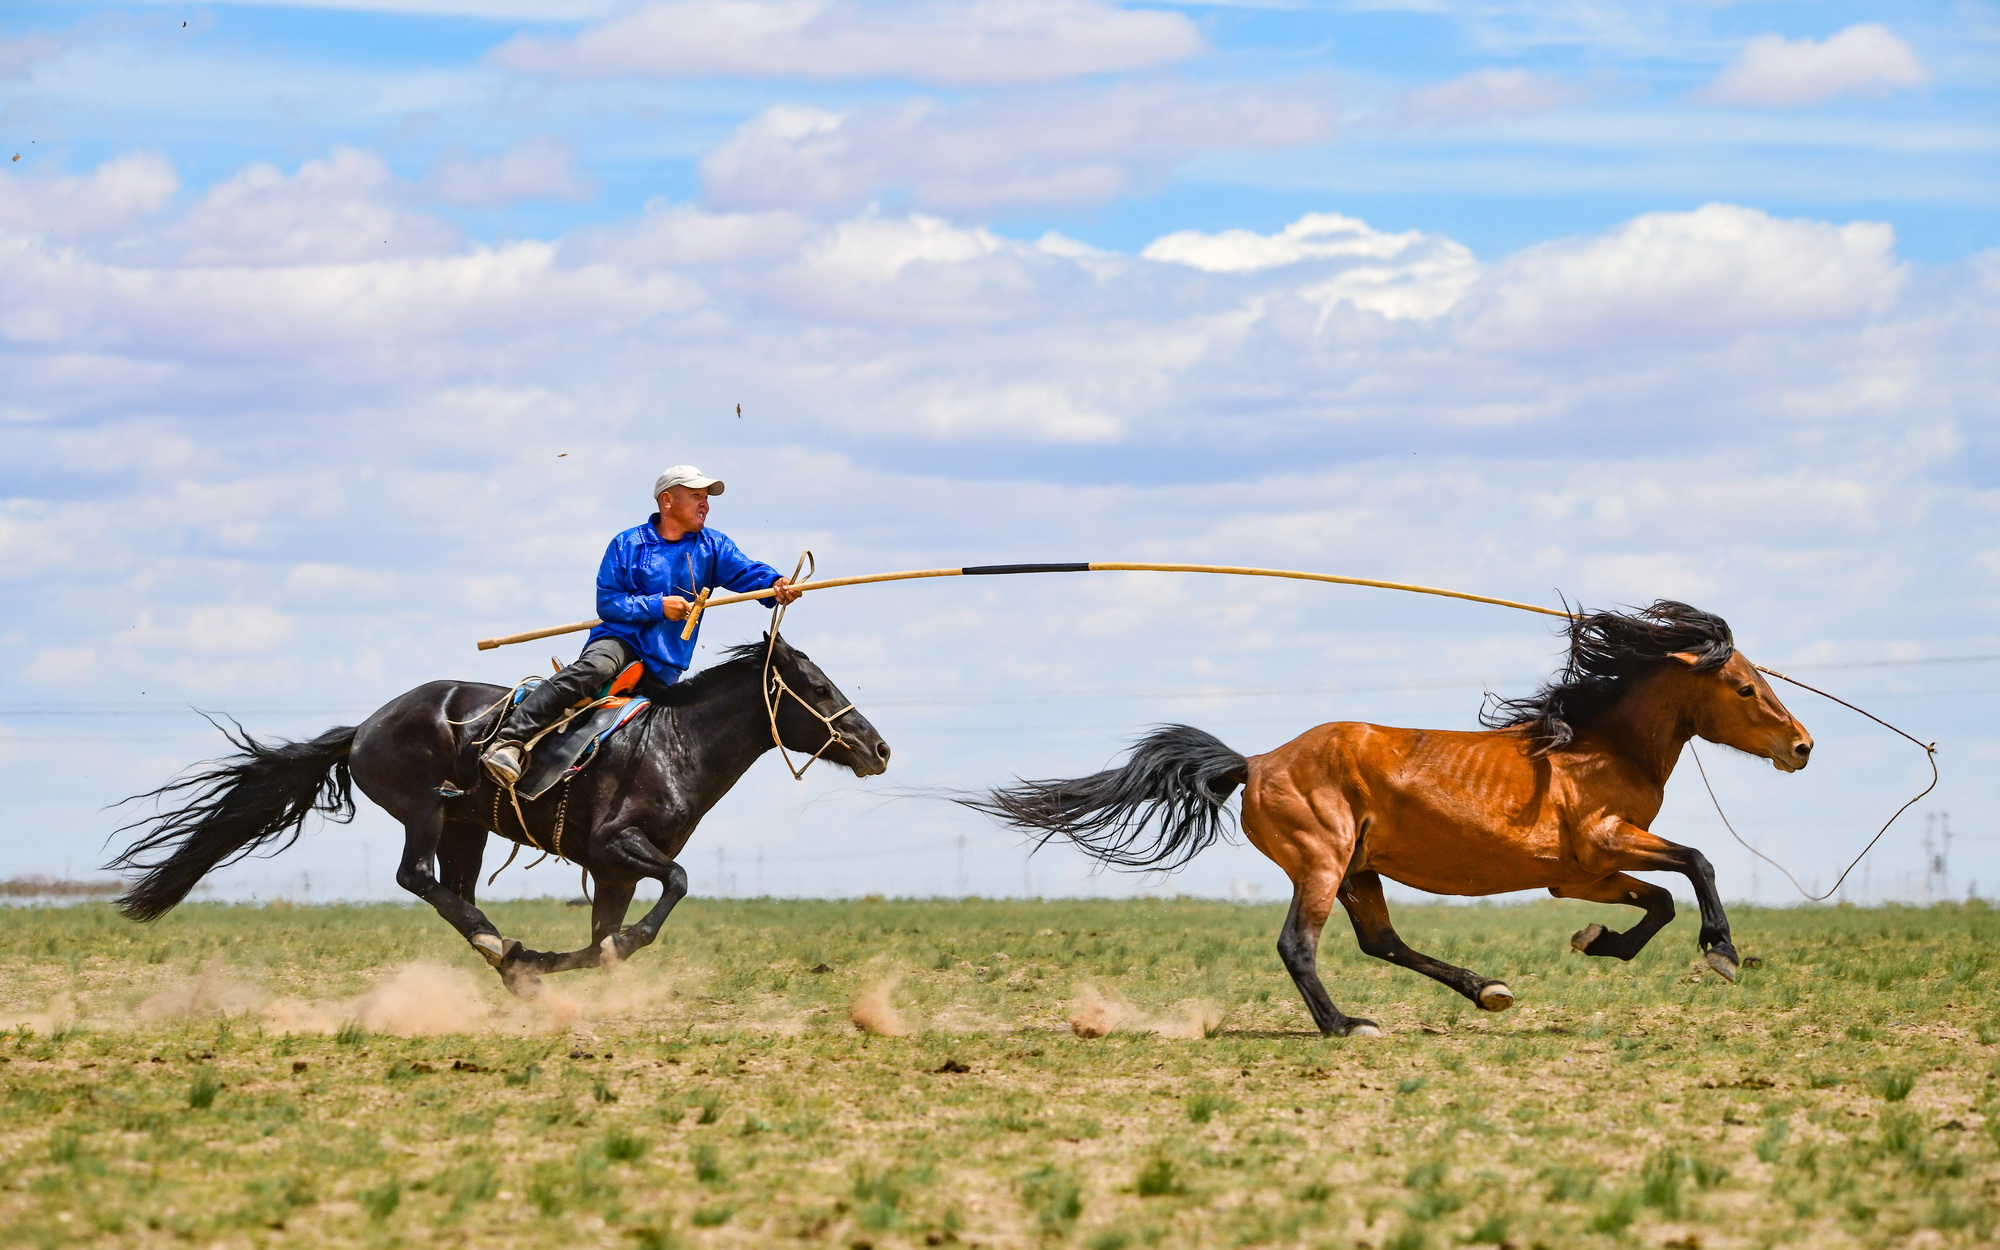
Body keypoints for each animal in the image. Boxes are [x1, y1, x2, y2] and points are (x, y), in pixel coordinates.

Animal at [108, 637, 890, 996]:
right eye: (819, 685)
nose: (878, 747)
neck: (674, 744)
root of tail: (364, 728)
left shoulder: (611, 871)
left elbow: (606, 936)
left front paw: (562, 960)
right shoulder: (617, 845)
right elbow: (677, 885)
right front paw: (573, 954)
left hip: (469, 827)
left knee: (452, 888)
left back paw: (512, 958)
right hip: (426, 809)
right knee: (417, 879)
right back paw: (500, 948)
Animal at [969, 601, 1811, 1037]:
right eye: (1743, 687)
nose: (1802, 746)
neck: (1594, 747)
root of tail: (1255, 762)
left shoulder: (1586, 874)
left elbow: (1660, 899)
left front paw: (1601, 942)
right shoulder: (1604, 843)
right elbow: (1698, 862)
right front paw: (1721, 953)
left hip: (1358, 871)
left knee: (1381, 941)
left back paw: (1485, 990)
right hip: (1321, 862)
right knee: (1299, 945)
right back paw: (1346, 1026)